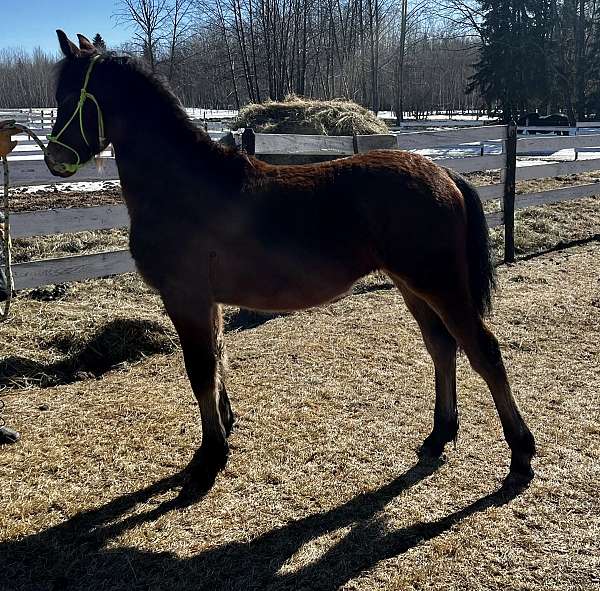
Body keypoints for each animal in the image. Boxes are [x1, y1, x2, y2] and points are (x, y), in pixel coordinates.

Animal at [45, 32, 536, 494]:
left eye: (70, 97)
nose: (54, 158)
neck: (185, 185)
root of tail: (443, 173)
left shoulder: (185, 297)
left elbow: (200, 370)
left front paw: (209, 459)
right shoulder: (206, 301)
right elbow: (217, 361)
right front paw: (224, 431)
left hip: (441, 285)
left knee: (484, 352)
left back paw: (520, 457)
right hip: (413, 286)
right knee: (442, 347)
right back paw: (439, 436)